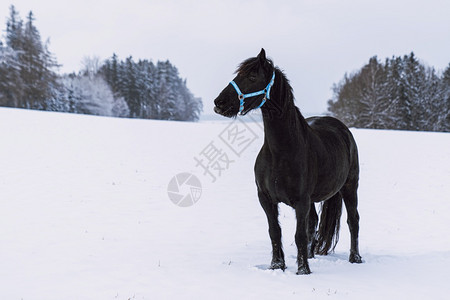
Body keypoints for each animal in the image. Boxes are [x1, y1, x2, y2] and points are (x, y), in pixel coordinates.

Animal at [214, 48, 362, 274]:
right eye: (238, 74)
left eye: (252, 76)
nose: (219, 103)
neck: (281, 152)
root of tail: (341, 128)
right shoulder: (266, 199)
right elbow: (275, 231)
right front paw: (277, 265)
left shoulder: (301, 201)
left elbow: (299, 235)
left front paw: (303, 271)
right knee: (313, 222)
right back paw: (310, 255)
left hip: (350, 186)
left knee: (353, 220)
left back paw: (355, 258)